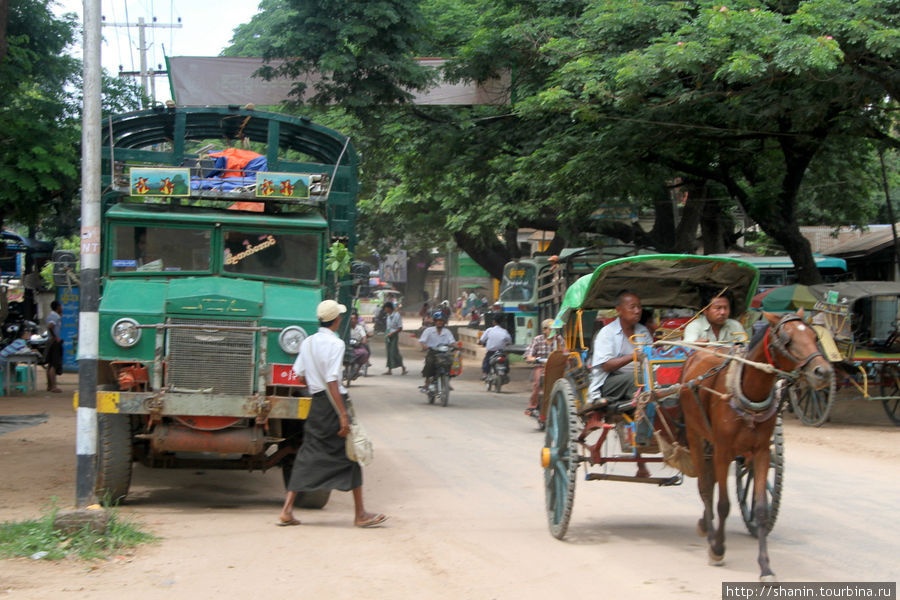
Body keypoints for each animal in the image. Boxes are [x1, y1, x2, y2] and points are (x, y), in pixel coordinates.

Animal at [680, 312, 832, 580]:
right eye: (787, 339)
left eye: (815, 337)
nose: (822, 371)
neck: (748, 391)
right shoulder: (723, 451)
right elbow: (723, 504)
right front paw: (718, 549)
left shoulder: (760, 453)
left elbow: (761, 509)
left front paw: (765, 567)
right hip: (695, 434)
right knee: (706, 487)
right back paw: (710, 533)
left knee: (710, 481)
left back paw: (705, 524)